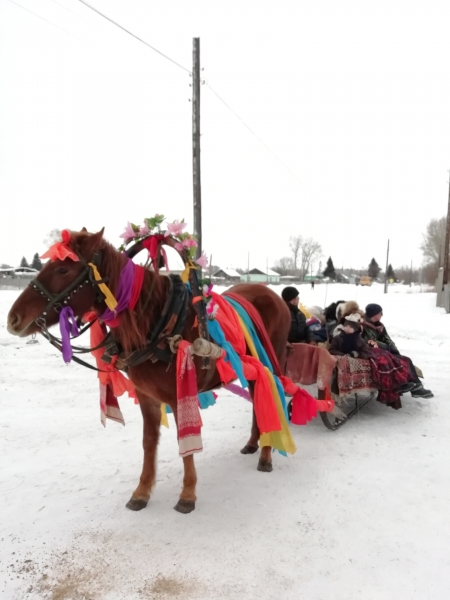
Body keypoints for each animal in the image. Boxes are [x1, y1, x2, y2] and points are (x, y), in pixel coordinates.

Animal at [7, 227, 292, 512]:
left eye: (63, 270)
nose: (13, 319)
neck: (160, 324)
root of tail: (271, 294)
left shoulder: (180, 395)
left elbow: (183, 443)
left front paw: (187, 493)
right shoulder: (146, 396)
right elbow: (148, 441)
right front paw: (142, 491)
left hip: (271, 362)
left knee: (271, 395)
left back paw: (266, 455)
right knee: (257, 398)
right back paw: (253, 443)